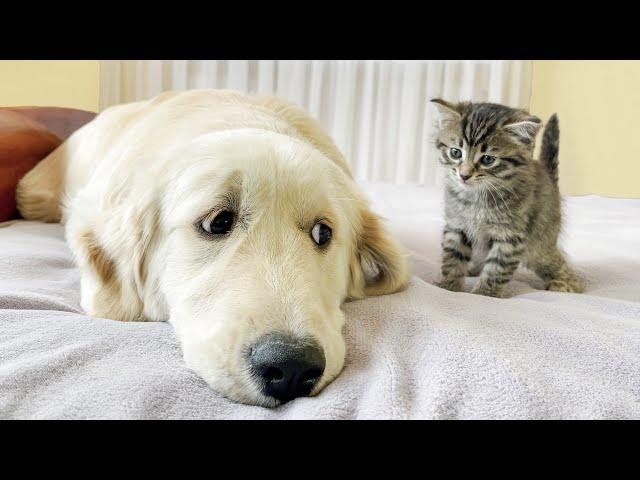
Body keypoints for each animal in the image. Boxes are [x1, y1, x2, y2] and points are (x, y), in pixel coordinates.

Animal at [432, 98, 584, 296]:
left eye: (488, 159)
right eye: (455, 152)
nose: (464, 175)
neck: (477, 197)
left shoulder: (510, 236)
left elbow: (496, 269)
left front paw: (484, 295)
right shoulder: (457, 226)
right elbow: (453, 259)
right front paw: (449, 287)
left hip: (540, 244)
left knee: (561, 266)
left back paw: (566, 284)